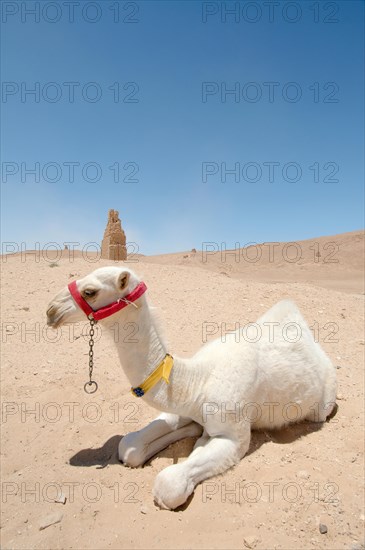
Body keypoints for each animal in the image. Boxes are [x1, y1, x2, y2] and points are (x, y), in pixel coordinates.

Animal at [47, 266, 336, 512]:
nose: (51, 310)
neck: (199, 380)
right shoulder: (184, 407)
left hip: (324, 403)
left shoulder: (234, 437)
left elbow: (169, 484)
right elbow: (129, 446)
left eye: (90, 291)